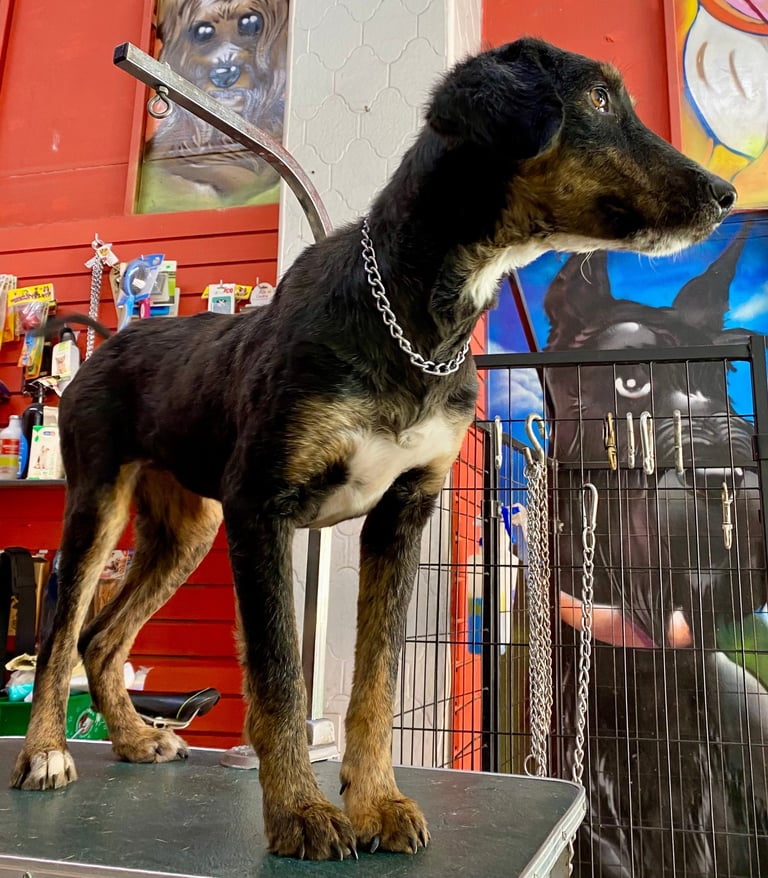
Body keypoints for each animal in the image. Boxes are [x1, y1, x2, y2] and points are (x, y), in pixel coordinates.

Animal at [11, 38, 735, 861]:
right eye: (600, 101)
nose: (724, 194)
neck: (421, 317)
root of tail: (109, 340)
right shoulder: (262, 508)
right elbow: (280, 677)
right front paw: (300, 812)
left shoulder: (403, 512)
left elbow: (378, 679)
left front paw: (377, 800)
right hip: (99, 504)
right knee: (61, 634)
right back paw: (45, 752)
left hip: (189, 529)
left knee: (102, 637)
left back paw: (134, 739)